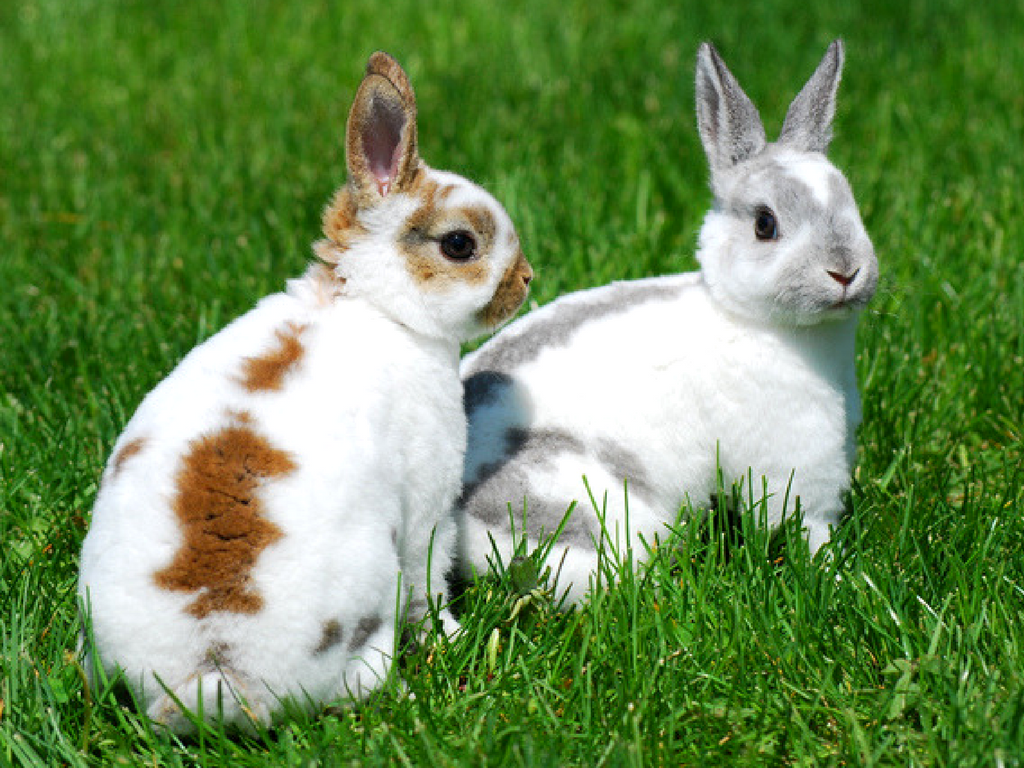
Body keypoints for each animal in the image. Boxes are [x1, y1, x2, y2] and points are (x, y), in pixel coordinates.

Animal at [77, 51, 533, 733]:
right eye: (460, 244)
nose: (527, 279)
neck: (375, 305)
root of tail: (214, 672)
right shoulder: (427, 503)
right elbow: (429, 582)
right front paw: (452, 636)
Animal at [457, 40, 877, 606]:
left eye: (851, 202)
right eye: (765, 224)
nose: (845, 271)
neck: (744, 316)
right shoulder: (795, 464)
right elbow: (808, 525)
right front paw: (837, 574)